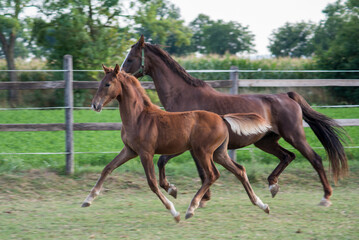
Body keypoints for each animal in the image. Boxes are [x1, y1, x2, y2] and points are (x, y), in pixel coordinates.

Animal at [82, 64, 272, 222]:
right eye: (101, 82)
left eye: (107, 84)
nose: (94, 105)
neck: (139, 117)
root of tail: (221, 117)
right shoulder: (130, 150)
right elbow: (107, 168)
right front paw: (87, 200)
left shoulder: (145, 153)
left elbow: (152, 183)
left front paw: (174, 212)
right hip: (219, 153)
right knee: (239, 170)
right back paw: (262, 205)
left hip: (203, 151)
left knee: (212, 175)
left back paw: (191, 208)